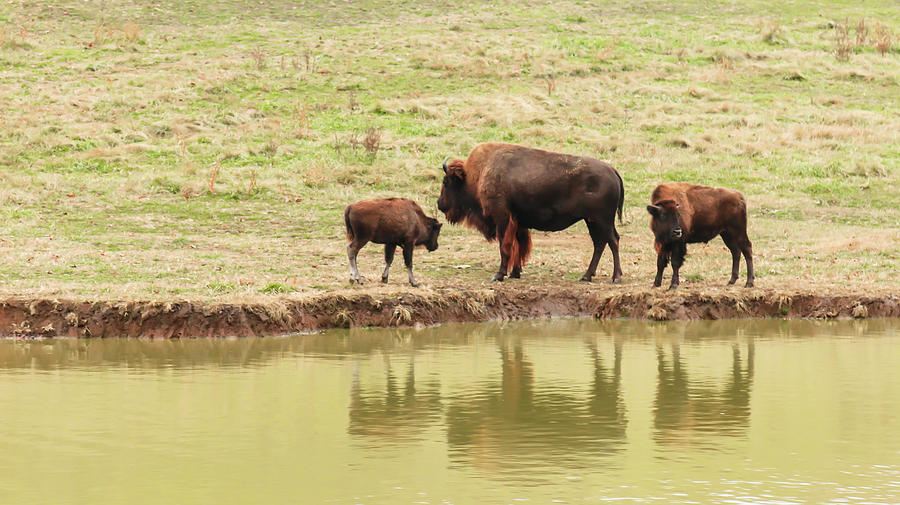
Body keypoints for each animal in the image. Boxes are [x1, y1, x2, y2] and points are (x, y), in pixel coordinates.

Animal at [438, 144, 624, 282]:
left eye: (446, 182)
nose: (440, 204)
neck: (478, 173)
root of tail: (612, 171)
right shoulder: (518, 222)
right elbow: (519, 245)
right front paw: (515, 273)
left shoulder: (502, 218)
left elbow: (505, 246)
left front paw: (499, 275)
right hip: (592, 220)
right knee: (600, 243)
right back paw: (586, 276)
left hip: (602, 220)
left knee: (612, 241)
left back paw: (615, 278)